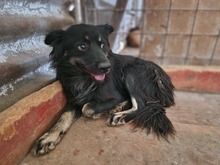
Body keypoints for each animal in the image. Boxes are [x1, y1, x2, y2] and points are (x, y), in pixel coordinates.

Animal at [34, 23, 175, 155]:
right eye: (82, 46)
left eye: (102, 45)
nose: (107, 67)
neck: (83, 78)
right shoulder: (74, 99)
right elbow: (64, 116)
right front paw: (49, 137)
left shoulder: (116, 96)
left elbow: (87, 107)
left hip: (131, 71)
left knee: (141, 104)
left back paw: (120, 115)